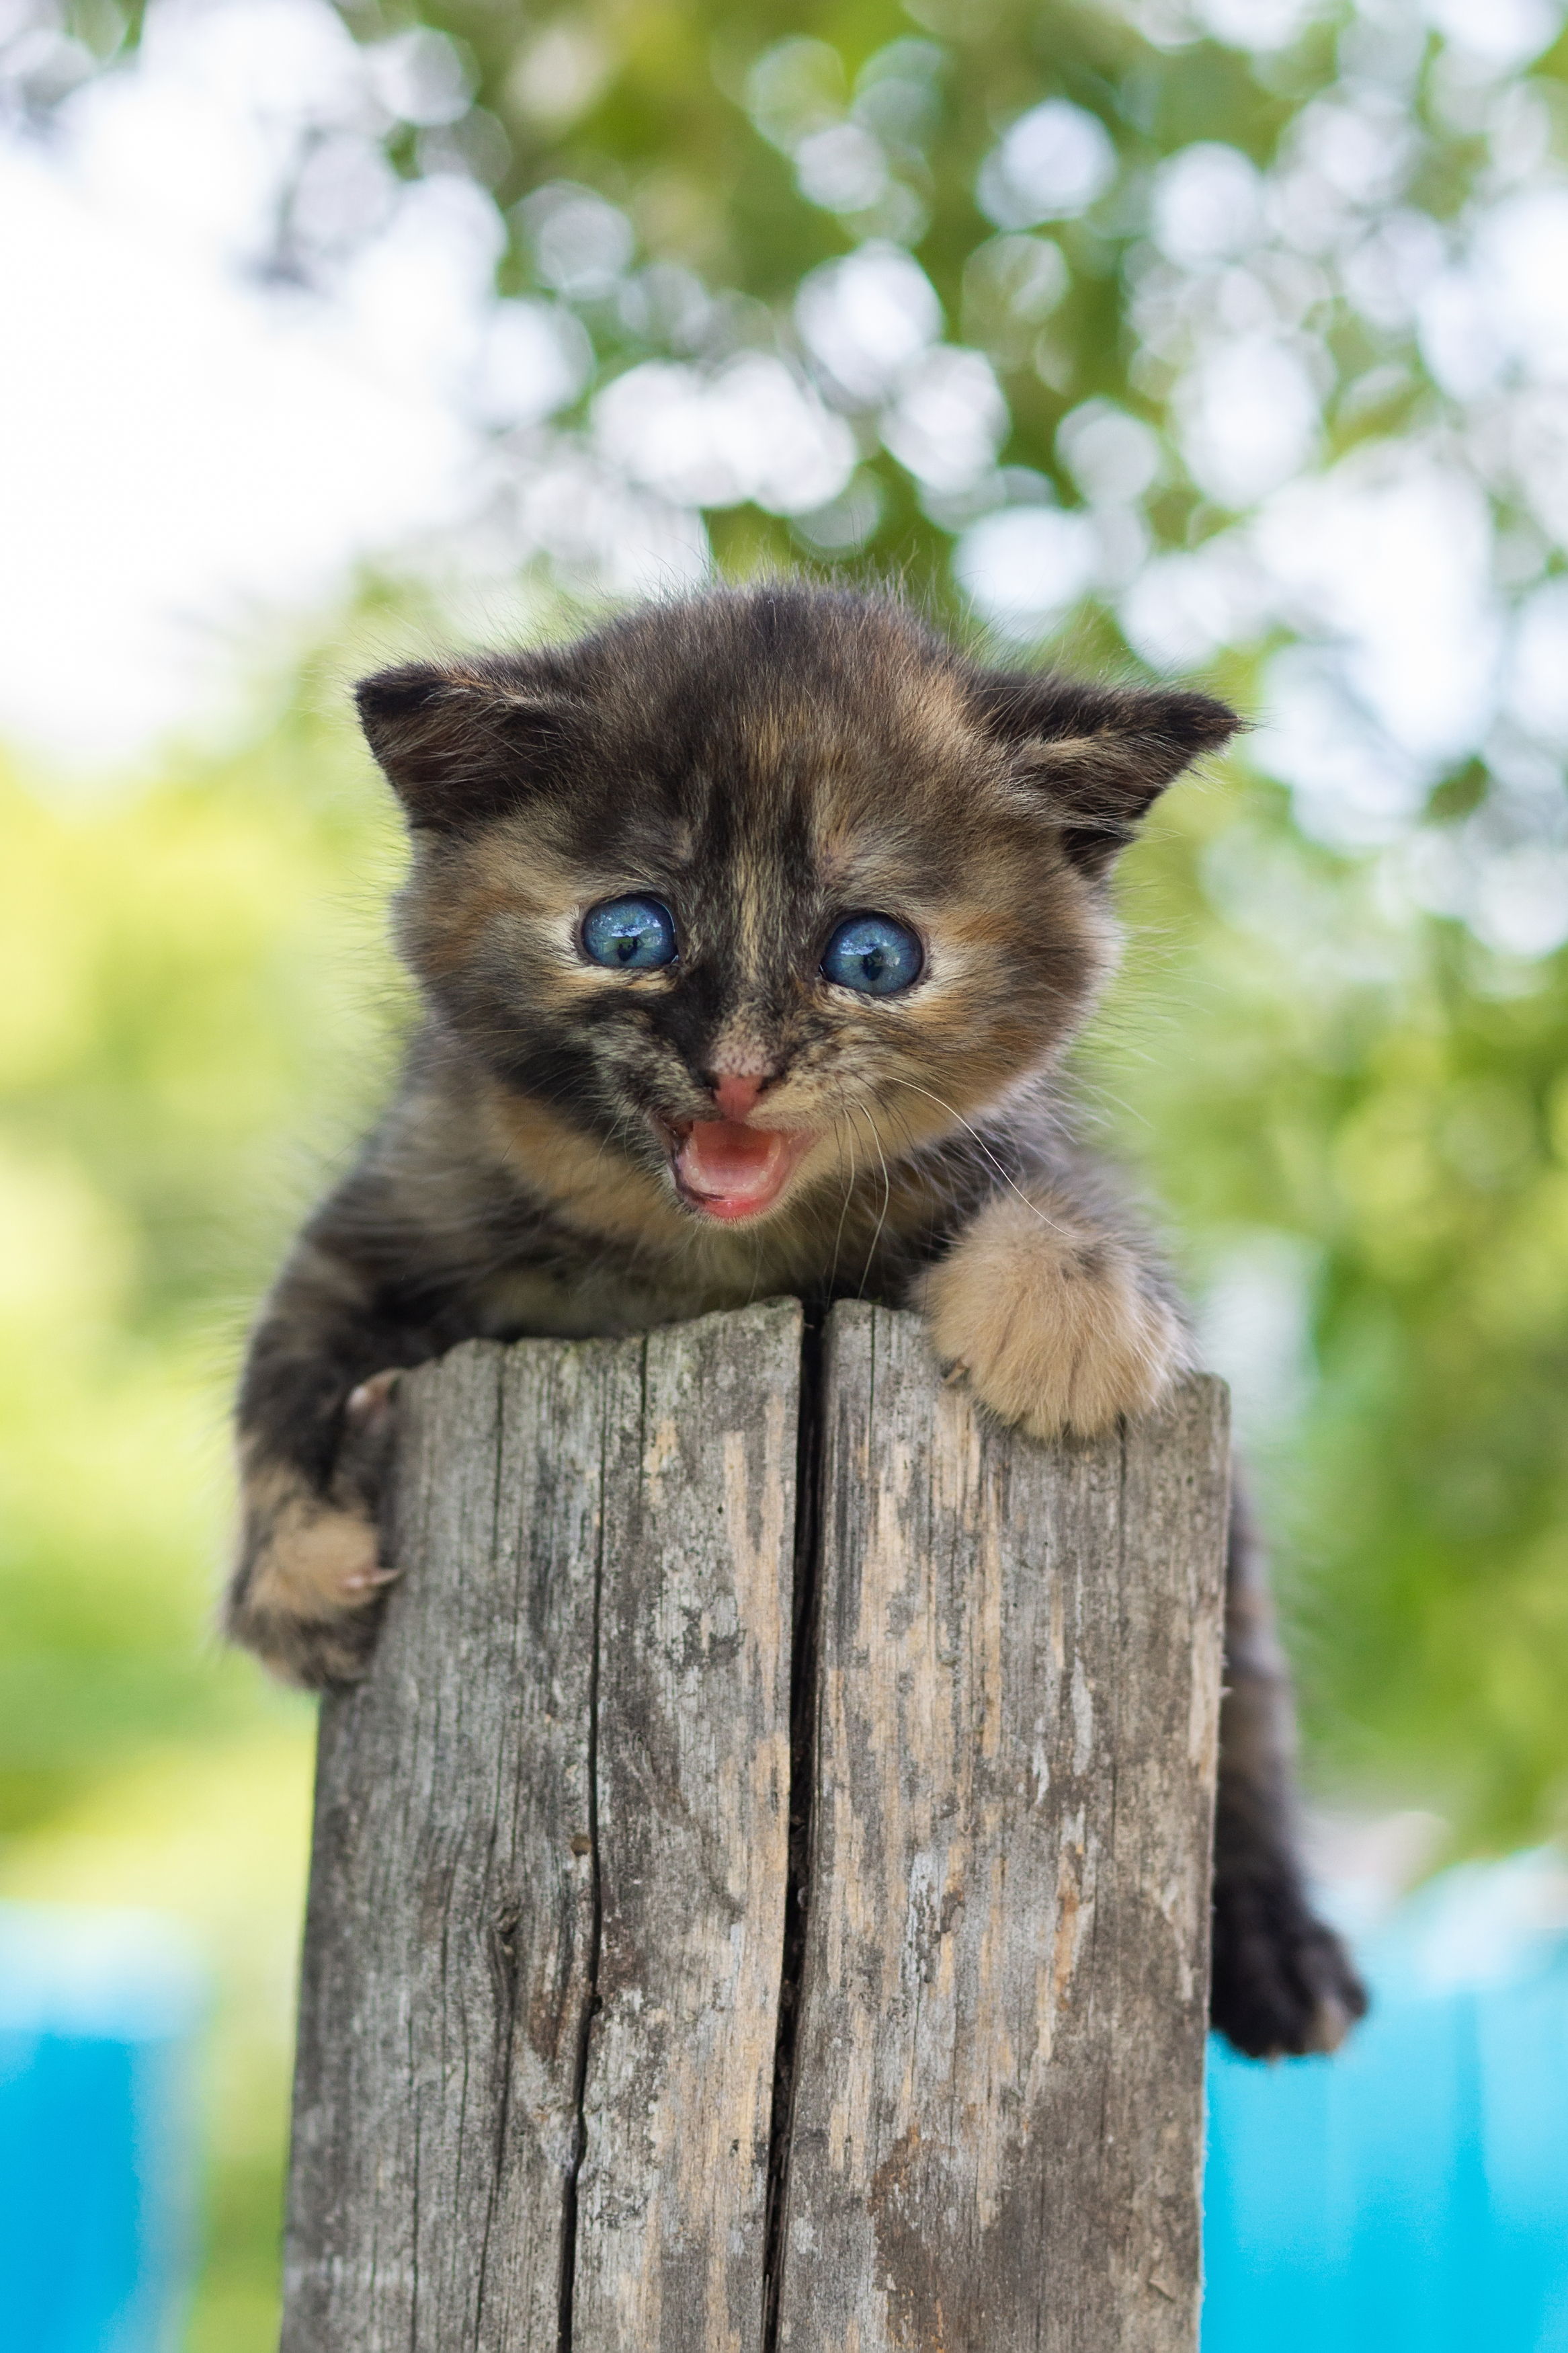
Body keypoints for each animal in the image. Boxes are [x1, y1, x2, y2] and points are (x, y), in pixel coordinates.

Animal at [226, 588, 1363, 2061]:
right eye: (630, 936)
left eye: (870, 958)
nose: (735, 1071)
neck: (698, 1258)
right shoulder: (392, 1202)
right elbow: (282, 1364)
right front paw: (297, 1571)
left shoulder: (1029, 1156)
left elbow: (1058, 1198)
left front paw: (1061, 1323)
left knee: (1253, 1708)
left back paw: (1280, 1947)